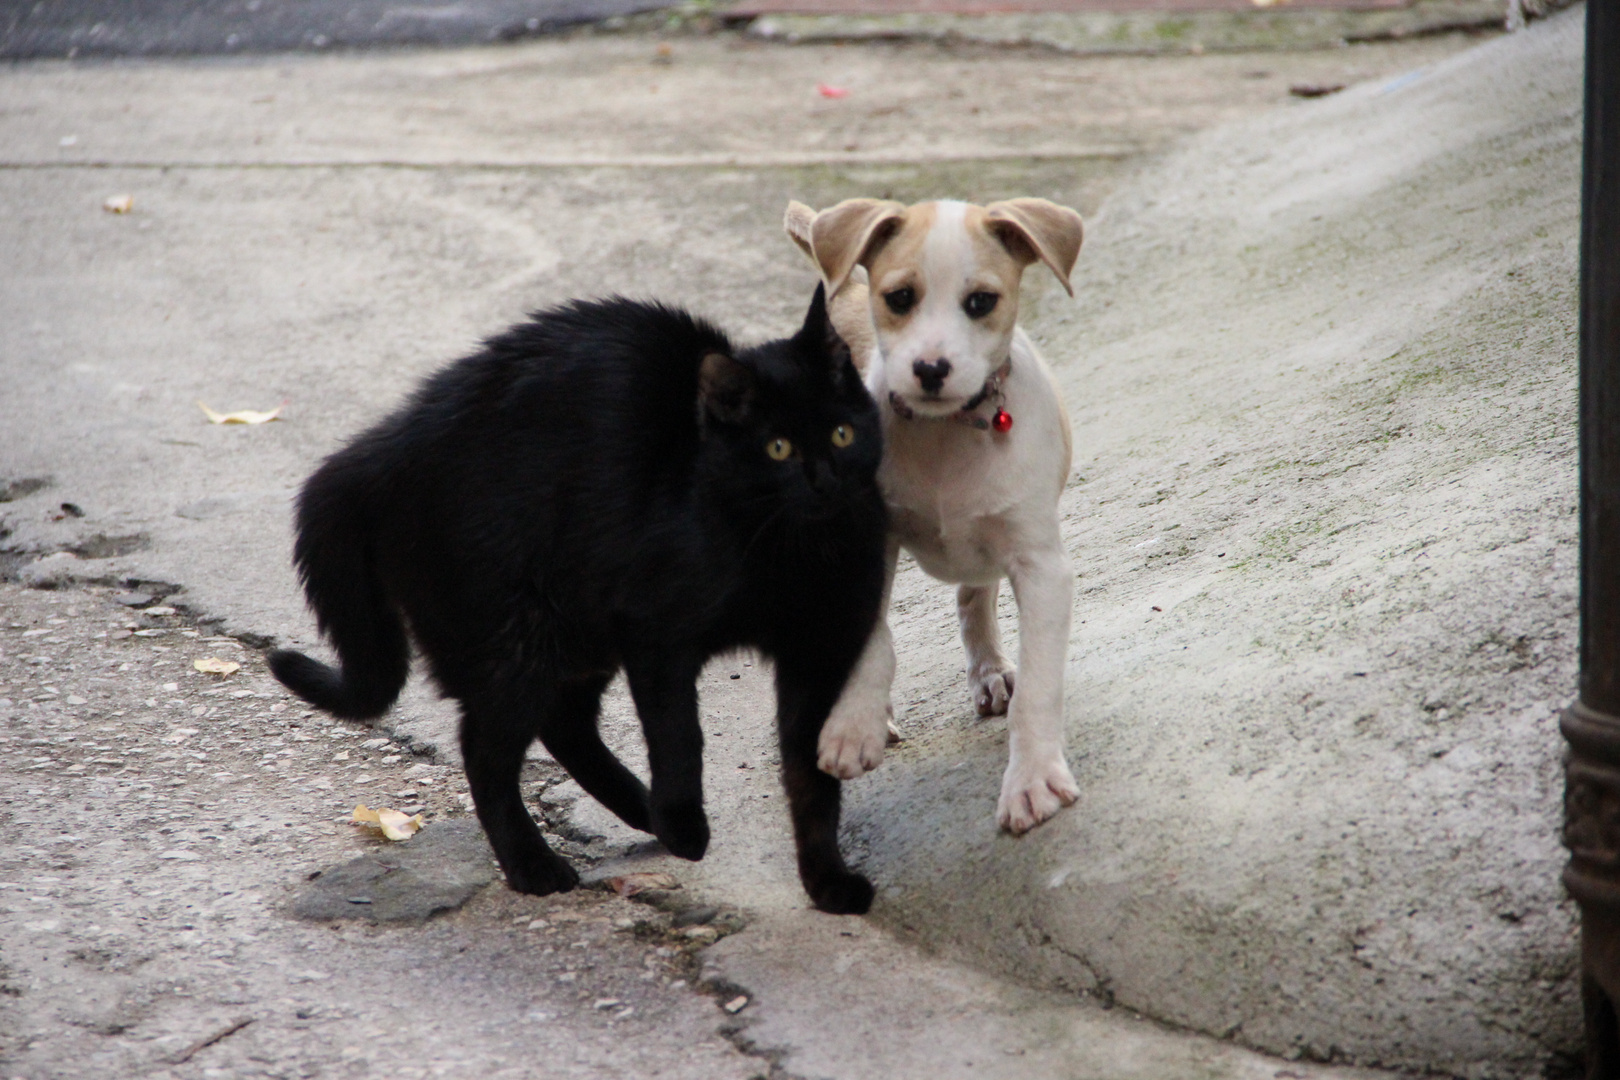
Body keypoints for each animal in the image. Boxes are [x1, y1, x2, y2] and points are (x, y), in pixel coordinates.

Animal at [272, 284, 894, 913]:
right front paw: (684, 824)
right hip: (518, 640)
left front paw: (827, 880)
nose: (824, 479)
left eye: (842, 434)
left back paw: (641, 812)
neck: (795, 551)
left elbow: (812, 779)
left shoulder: (819, 653)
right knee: (486, 752)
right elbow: (679, 736)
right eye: (778, 448)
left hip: (577, 633)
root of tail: (383, 449)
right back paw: (538, 863)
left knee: (563, 724)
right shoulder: (657, 635)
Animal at [780, 198, 1082, 835]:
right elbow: (874, 637)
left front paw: (1032, 780)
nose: (931, 368)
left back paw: (990, 671)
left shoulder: (1041, 565)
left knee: (974, 598)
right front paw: (855, 724)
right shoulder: (864, 540)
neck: (946, 433)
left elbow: (1039, 685)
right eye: (900, 298)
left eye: (981, 302)